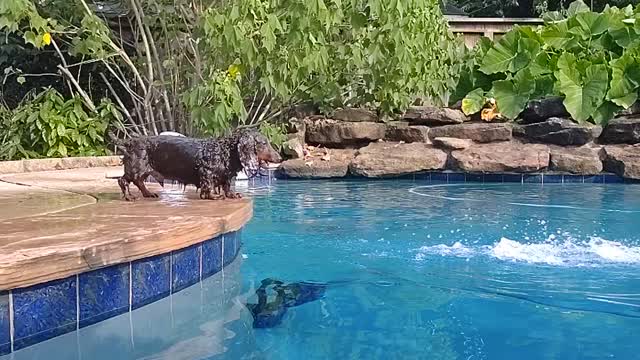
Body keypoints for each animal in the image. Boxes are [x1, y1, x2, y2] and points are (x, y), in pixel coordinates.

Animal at [116, 129, 282, 201]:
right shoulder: (206, 171)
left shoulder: (226, 176)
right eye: (264, 143)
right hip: (137, 168)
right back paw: (129, 196)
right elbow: (208, 185)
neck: (226, 151)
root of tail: (130, 142)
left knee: (139, 181)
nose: (280, 158)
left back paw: (148, 193)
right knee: (124, 180)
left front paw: (232, 195)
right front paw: (213, 196)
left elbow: (227, 185)